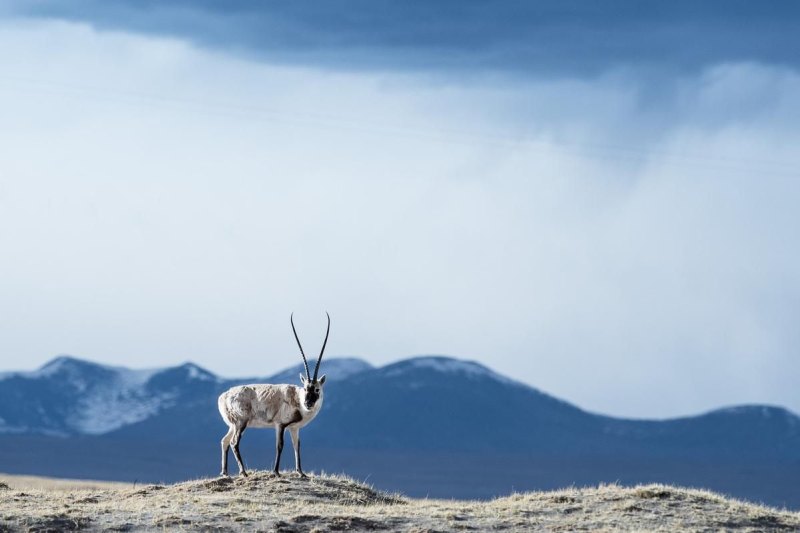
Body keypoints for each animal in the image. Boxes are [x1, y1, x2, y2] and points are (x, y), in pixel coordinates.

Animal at [217, 310, 330, 476]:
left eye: (316, 389)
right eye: (305, 388)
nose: (308, 403)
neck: (296, 398)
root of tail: (223, 397)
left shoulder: (294, 428)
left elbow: (297, 445)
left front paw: (301, 472)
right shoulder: (280, 425)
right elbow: (280, 445)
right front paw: (276, 472)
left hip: (233, 424)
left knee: (224, 440)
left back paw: (224, 472)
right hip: (241, 423)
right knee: (233, 442)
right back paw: (243, 472)